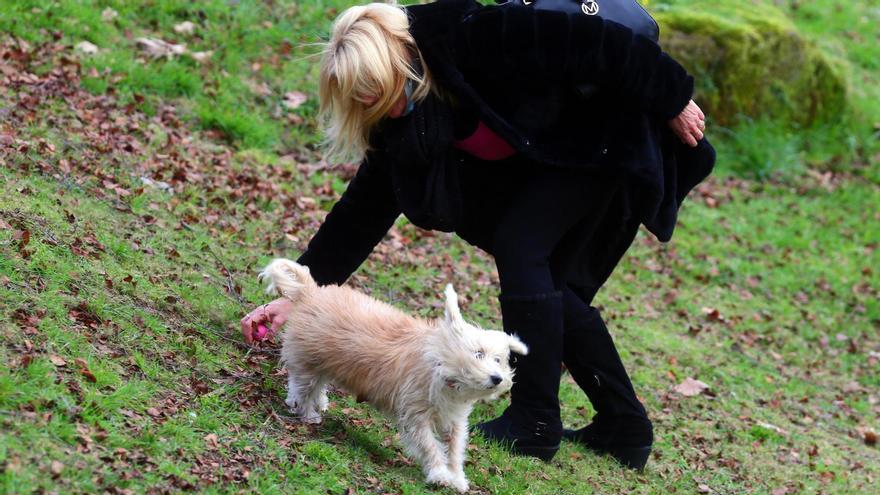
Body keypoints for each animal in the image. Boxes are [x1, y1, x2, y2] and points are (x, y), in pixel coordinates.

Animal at [258, 260, 524, 492]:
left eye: (499, 359)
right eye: (478, 354)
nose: (498, 379)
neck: (440, 368)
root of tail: (311, 291)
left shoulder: (454, 420)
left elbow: (455, 450)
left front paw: (457, 477)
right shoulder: (417, 416)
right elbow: (430, 446)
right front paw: (439, 473)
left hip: (323, 363)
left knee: (312, 386)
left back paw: (319, 402)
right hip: (309, 363)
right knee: (301, 388)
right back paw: (307, 413)